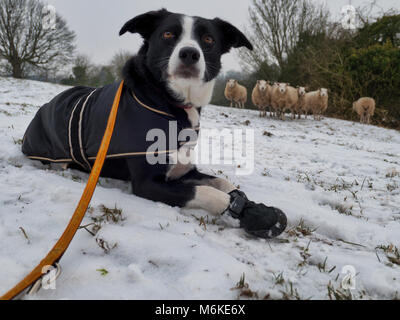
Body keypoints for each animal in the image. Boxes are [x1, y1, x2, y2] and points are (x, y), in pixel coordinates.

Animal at [21, 9, 288, 240]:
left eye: (208, 39)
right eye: (168, 34)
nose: (189, 54)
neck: (168, 102)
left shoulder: (184, 169)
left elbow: (223, 183)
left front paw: (248, 205)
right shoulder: (147, 183)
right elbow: (212, 194)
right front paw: (238, 209)